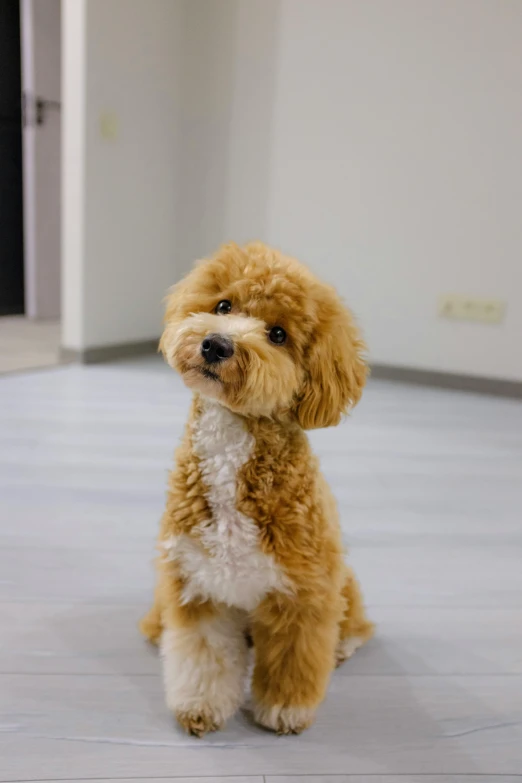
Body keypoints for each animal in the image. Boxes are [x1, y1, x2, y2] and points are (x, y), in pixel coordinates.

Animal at [140, 242, 372, 740]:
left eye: (278, 334)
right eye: (224, 306)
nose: (216, 344)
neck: (232, 440)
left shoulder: (303, 592)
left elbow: (293, 662)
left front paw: (285, 712)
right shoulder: (196, 583)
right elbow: (202, 659)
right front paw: (200, 708)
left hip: (344, 583)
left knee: (355, 623)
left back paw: (343, 646)